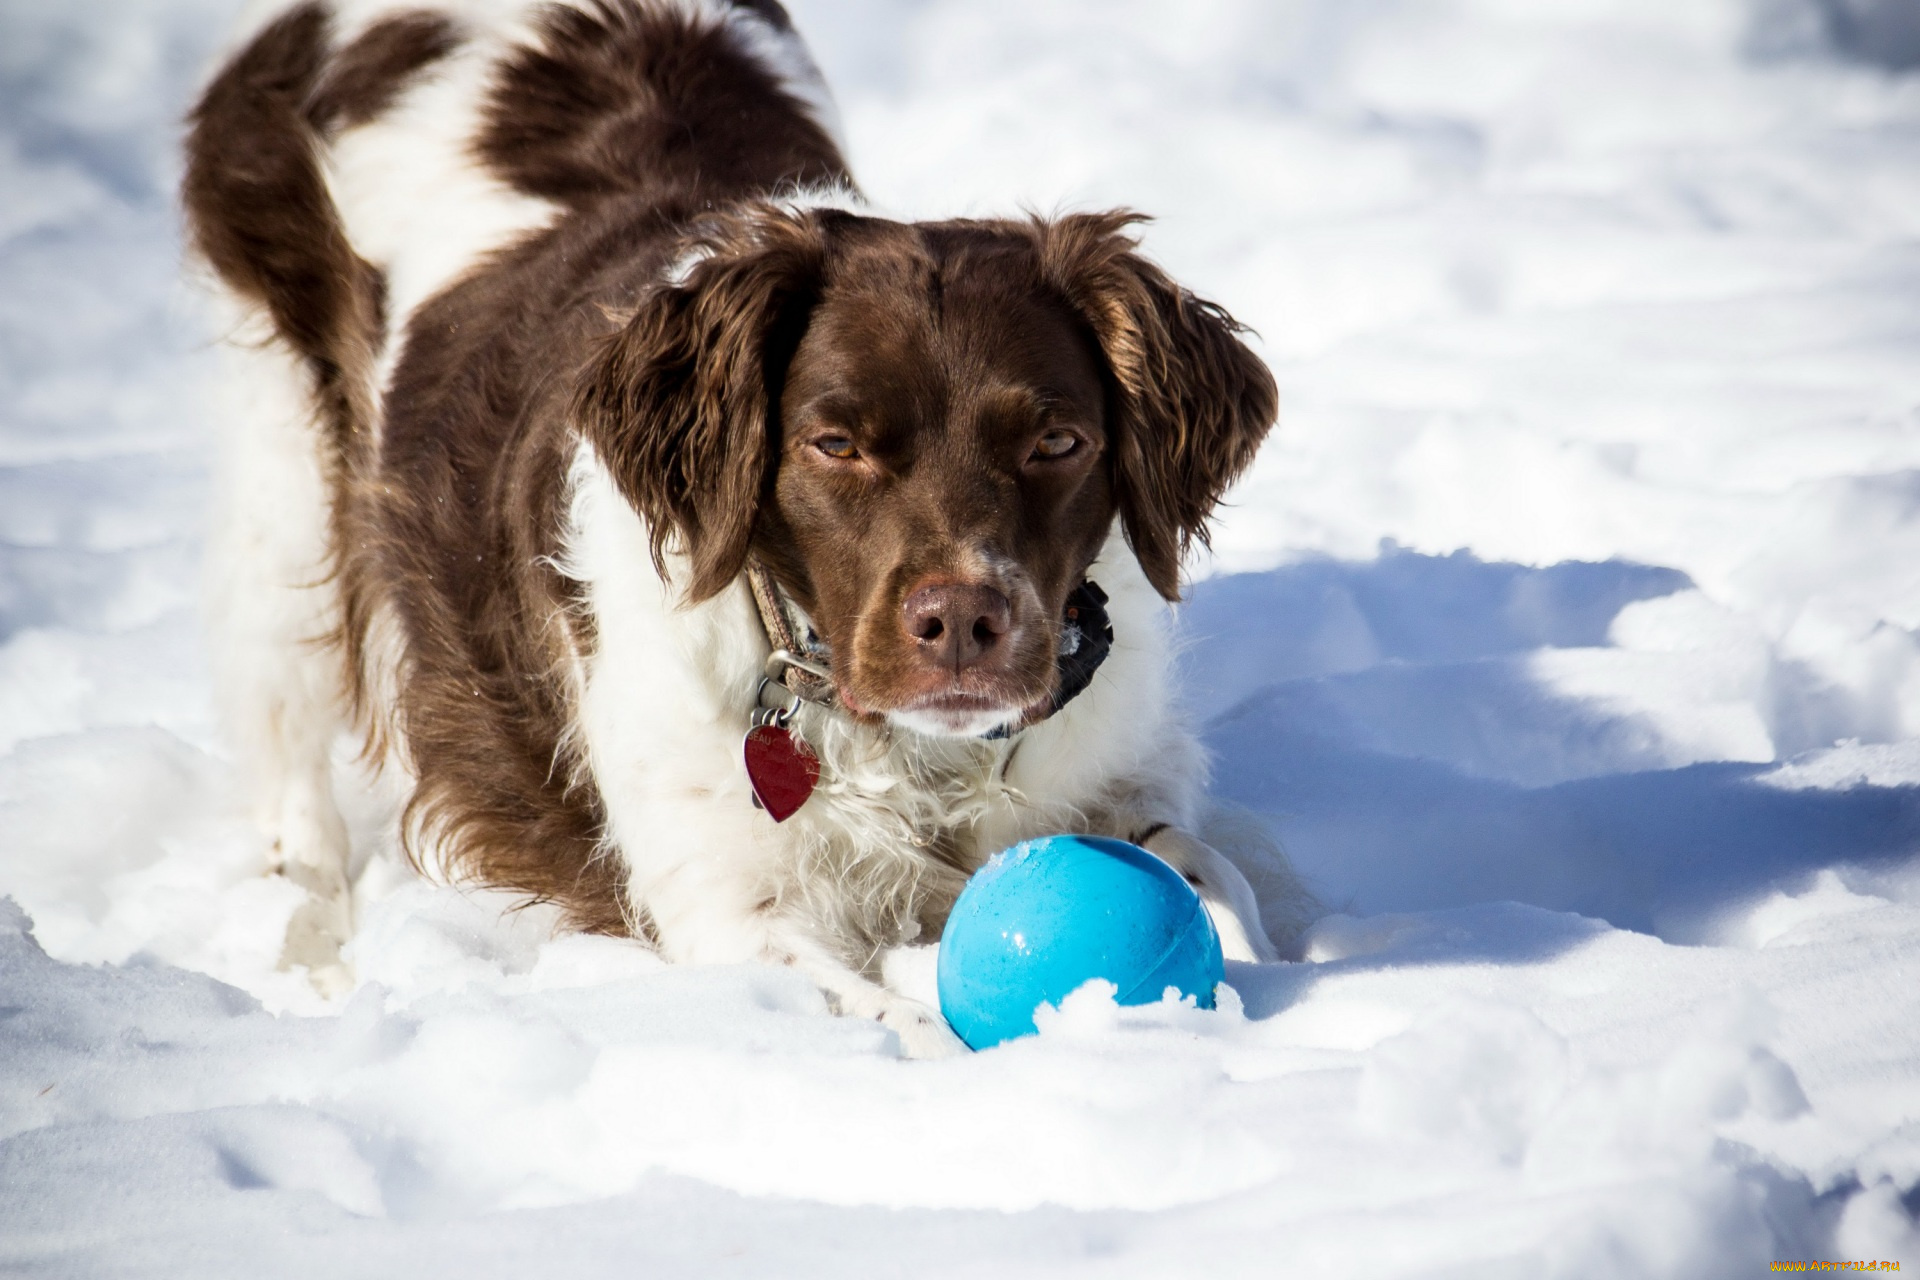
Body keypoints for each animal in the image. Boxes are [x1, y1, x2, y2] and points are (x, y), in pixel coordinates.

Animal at [187, 0, 1313, 1051]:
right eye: (834, 443)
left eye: (1057, 442)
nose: (962, 622)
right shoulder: (731, 911)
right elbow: (902, 1027)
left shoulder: (1112, 779)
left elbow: (1209, 872)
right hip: (288, 463)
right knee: (288, 740)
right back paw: (310, 948)